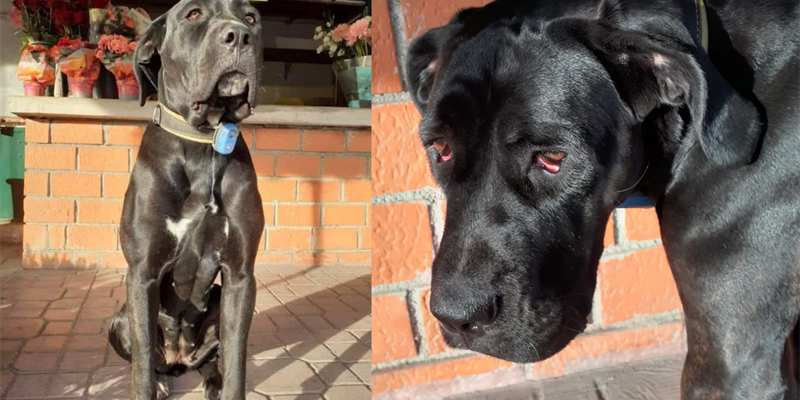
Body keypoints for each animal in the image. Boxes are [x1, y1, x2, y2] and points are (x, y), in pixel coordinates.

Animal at [108, 0, 264, 398]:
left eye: (251, 18)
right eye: (193, 14)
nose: (239, 35)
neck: (202, 142)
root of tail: (180, 359)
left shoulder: (240, 277)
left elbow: (237, 363)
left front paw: (228, 384)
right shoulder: (142, 274)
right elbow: (142, 371)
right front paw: (149, 386)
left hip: (220, 300)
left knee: (211, 360)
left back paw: (211, 381)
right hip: (120, 319)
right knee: (149, 362)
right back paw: (165, 380)